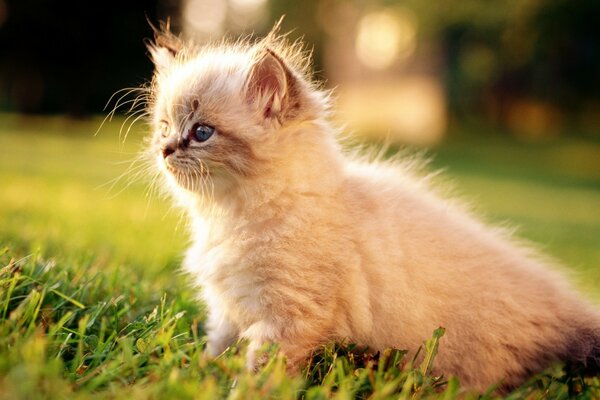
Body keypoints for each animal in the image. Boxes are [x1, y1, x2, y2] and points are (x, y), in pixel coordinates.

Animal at [145, 25, 600, 390]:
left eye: (202, 132)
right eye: (164, 128)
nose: (164, 150)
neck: (230, 218)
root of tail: (563, 307)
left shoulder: (289, 318)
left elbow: (259, 373)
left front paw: (235, 390)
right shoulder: (227, 311)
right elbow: (216, 351)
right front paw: (196, 377)